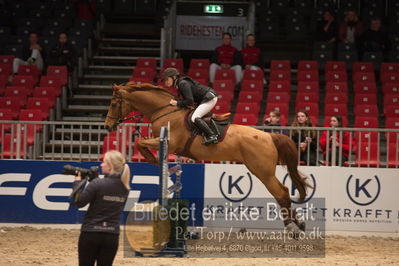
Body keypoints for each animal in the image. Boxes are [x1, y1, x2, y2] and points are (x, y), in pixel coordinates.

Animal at [104, 82, 310, 232]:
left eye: (114, 104)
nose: (107, 126)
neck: (164, 111)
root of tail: (270, 136)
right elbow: (142, 143)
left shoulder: (170, 143)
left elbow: (141, 143)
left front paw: (154, 160)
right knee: (283, 192)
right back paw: (299, 223)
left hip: (262, 171)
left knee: (282, 192)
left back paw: (291, 227)